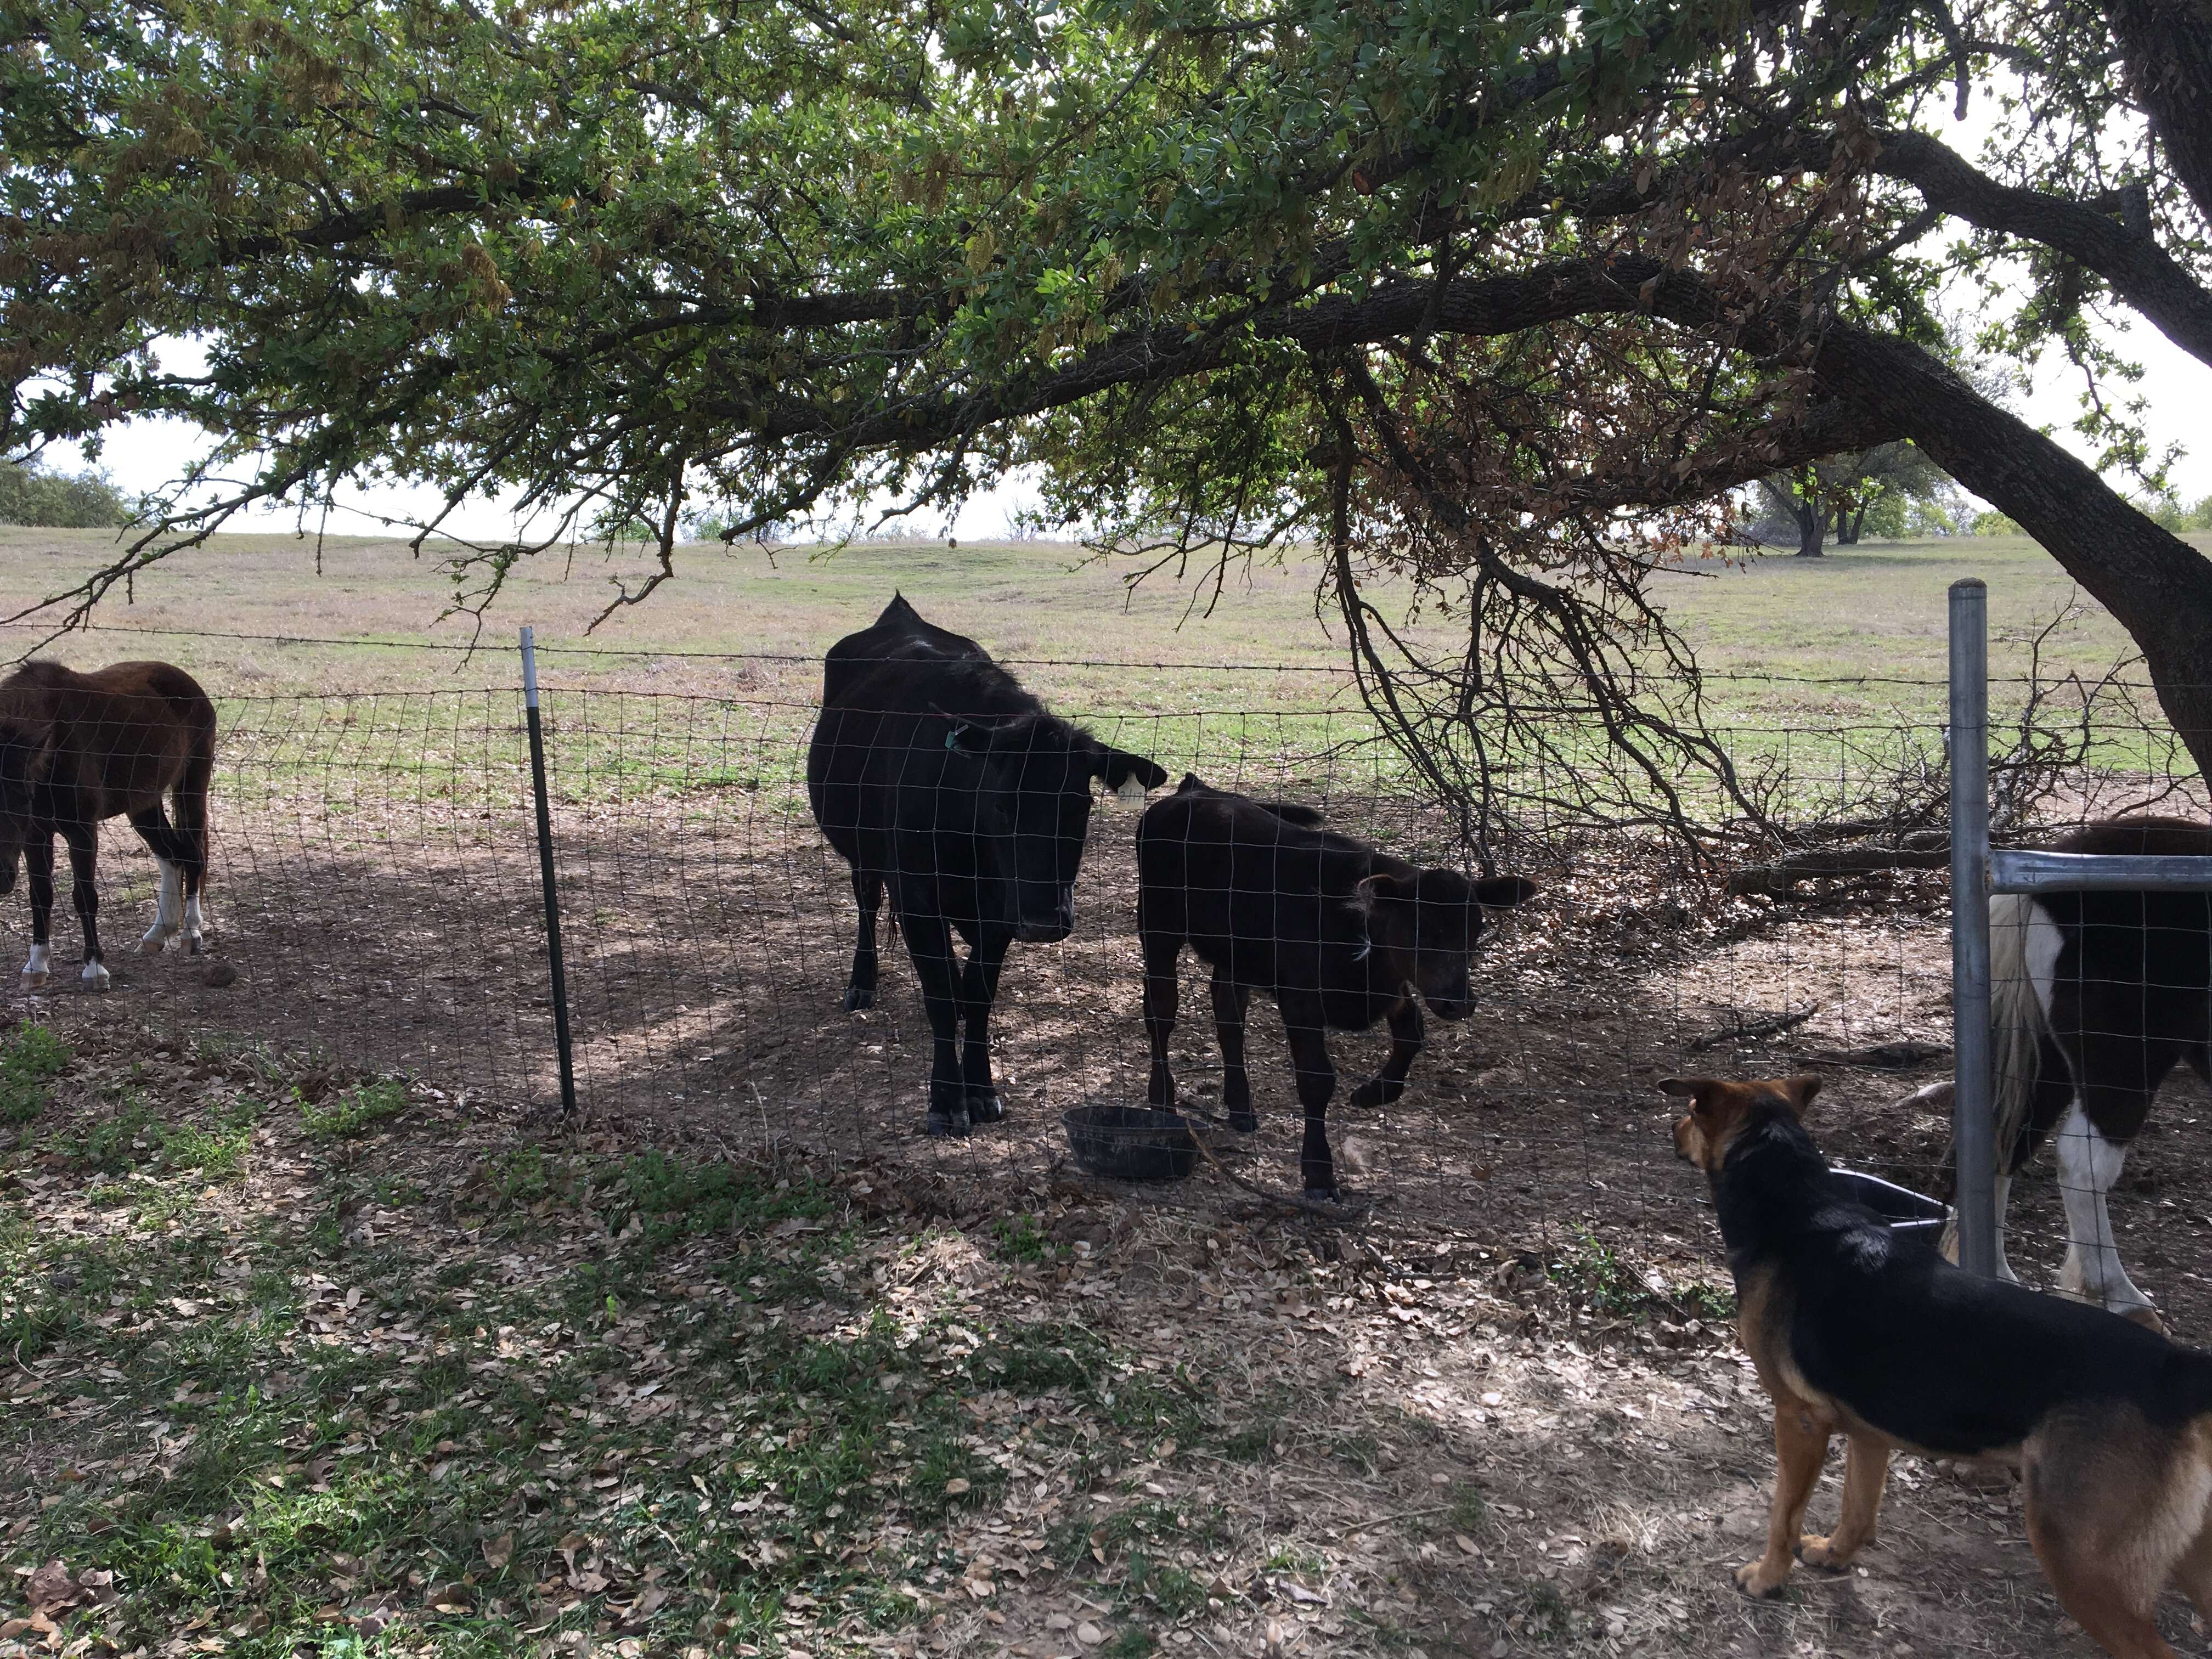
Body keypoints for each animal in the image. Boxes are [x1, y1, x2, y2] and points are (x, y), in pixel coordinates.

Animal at [0, 659, 218, 986]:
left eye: (25, 797)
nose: (1, 878)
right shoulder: (35, 834)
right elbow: (40, 896)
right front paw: (35, 966)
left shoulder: (82, 831)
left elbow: (84, 897)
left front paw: (94, 968)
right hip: (144, 804)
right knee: (171, 857)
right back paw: (157, 934)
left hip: (190, 786)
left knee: (193, 856)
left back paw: (191, 934)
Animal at [805, 601, 1167, 1141]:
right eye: (999, 805)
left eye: (1079, 806)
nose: (1044, 921)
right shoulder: (918, 899)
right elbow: (937, 995)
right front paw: (945, 1100)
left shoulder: (999, 911)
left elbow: (977, 995)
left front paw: (979, 1090)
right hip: (863, 853)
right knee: (866, 902)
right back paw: (861, 982)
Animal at [1132, 774, 1531, 1203]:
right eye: (1420, 930)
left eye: (1477, 928)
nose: (1459, 1001)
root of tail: (1193, 790)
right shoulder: (1301, 999)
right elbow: (1317, 1080)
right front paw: (1319, 1172)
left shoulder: (1389, 988)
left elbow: (1413, 1034)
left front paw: (1374, 1093)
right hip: (1157, 928)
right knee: (1161, 1012)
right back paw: (1162, 1101)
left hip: (1235, 954)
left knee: (1229, 1019)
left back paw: (1240, 1107)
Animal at [1663, 1070, 2212, 1654]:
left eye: (1690, 1110)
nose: (1671, 1130)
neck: (1796, 1206)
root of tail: (2179, 1371)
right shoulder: (1869, 1431)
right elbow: (1858, 1508)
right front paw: (1834, 1556)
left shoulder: (1799, 1420)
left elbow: (1782, 1517)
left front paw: (1768, 1579)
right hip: (2193, 1563)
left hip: (2083, 1562)